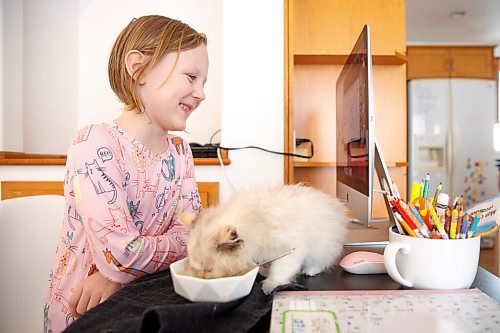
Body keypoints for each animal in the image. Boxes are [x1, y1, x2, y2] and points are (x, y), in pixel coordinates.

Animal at [182, 183, 350, 294]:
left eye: (208, 270)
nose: (202, 279)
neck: (254, 221)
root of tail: (336, 205)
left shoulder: (290, 249)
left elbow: (279, 270)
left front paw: (271, 285)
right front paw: (264, 271)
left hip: (322, 247)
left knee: (321, 262)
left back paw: (310, 270)